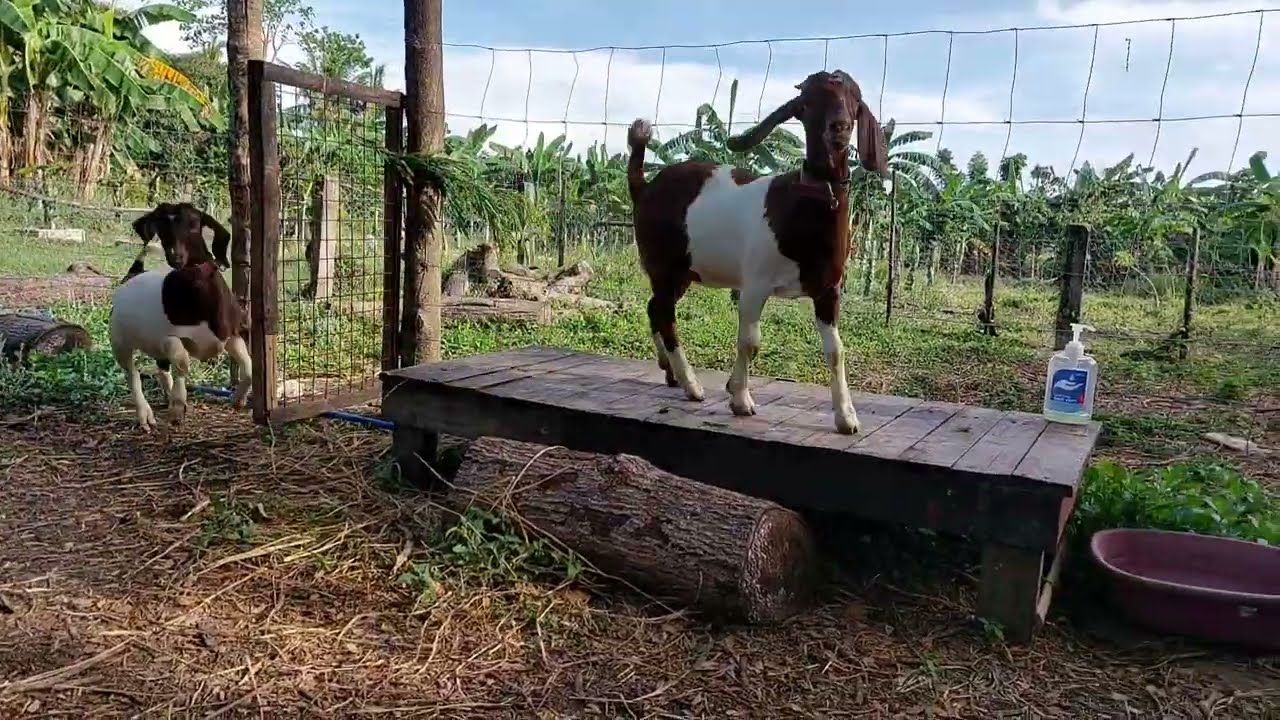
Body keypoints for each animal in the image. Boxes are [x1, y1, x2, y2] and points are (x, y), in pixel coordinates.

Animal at [109, 202, 252, 431]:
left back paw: (168, 396)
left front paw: (238, 401)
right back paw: (146, 415)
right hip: (119, 341)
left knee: (161, 368)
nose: (176, 256)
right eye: (161, 227)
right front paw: (178, 408)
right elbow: (182, 362)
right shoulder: (168, 338)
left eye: (194, 223)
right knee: (133, 374)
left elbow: (248, 368)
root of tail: (135, 272)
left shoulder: (232, 334)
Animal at [626, 69, 888, 435]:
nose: (839, 127)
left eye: (855, 100)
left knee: (653, 308)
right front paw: (739, 399)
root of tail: (644, 187)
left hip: (683, 272)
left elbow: (835, 351)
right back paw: (692, 385)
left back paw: (670, 372)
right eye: (807, 104)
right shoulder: (754, 284)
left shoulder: (828, 290)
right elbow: (750, 341)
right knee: (665, 316)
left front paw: (846, 417)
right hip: (663, 263)